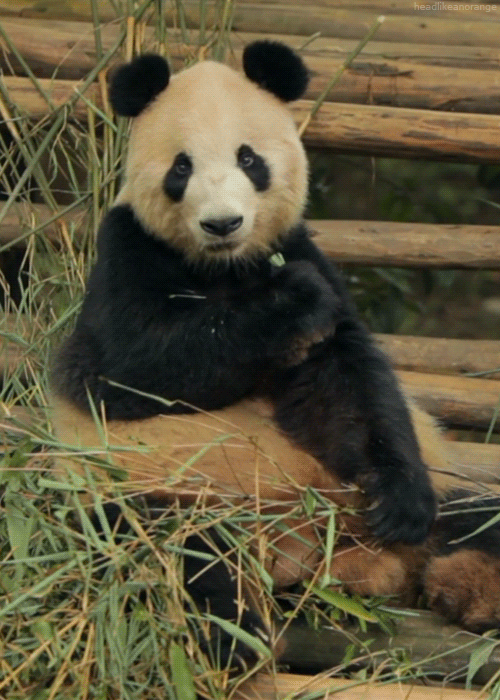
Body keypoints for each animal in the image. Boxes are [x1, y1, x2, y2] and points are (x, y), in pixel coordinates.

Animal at [51, 41, 500, 670]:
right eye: (181, 168)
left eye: (249, 159)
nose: (222, 223)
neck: (225, 267)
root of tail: (311, 552)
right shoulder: (127, 252)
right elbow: (136, 365)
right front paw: (291, 300)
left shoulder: (298, 245)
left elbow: (348, 384)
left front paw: (397, 501)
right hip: (158, 495)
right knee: (183, 556)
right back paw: (231, 638)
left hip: (409, 501)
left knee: (475, 518)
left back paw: (464, 586)